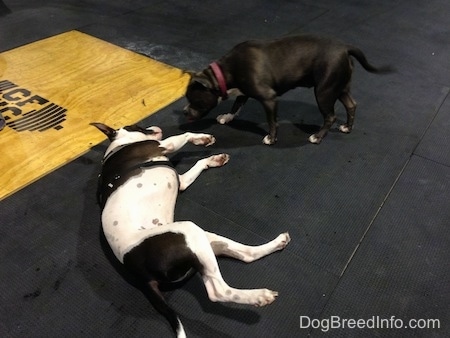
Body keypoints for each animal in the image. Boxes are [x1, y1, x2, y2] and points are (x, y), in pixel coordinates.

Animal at [90, 121, 292, 338]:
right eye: (137, 125)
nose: (155, 126)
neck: (119, 145)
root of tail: (141, 274)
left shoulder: (182, 181)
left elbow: (197, 165)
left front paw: (213, 158)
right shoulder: (162, 145)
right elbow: (185, 134)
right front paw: (201, 138)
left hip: (199, 239)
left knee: (246, 255)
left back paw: (277, 243)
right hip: (188, 231)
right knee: (218, 292)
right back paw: (259, 296)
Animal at [185, 33, 392, 145]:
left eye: (194, 100)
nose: (185, 111)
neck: (224, 72)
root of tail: (345, 47)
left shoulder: (268, 98)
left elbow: (272, 121)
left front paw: (271, 138)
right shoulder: (243, 92)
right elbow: (236, 105)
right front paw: (227, 117)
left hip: (324, 91)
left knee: (330, 116)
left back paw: (317, 137)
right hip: (340, 87)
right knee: (351, 105)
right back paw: (347, 127)